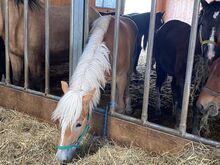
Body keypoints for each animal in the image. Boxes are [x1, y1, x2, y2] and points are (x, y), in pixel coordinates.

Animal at [52, 10, 138, 164]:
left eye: (78, 124)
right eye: (61, 120)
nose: (61, 158)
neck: (107, 49)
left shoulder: (121, 76)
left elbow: (120, 105)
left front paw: (122, 110)